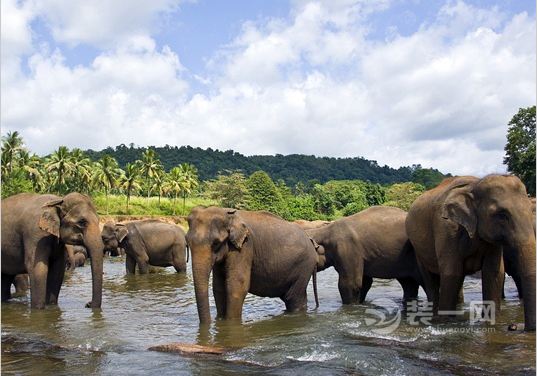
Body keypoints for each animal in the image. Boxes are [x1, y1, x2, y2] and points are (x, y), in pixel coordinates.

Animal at [185, 206, 318, 324]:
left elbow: (237, 286)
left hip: (304, 265)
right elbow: (218, 287)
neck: (227, 214)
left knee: (293, 298)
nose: (210, 323)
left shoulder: (245, 246)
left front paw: (230, 324)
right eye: (187, 241)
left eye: (216, 243)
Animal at [406, 175, 532, 330]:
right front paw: (445, 322)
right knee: (431, 281)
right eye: (502, 215)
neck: (474, 185)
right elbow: (451, 272)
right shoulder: (446, 228)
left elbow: (493, 272)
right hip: (417, 248)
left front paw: (492, 320)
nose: (513, 327)